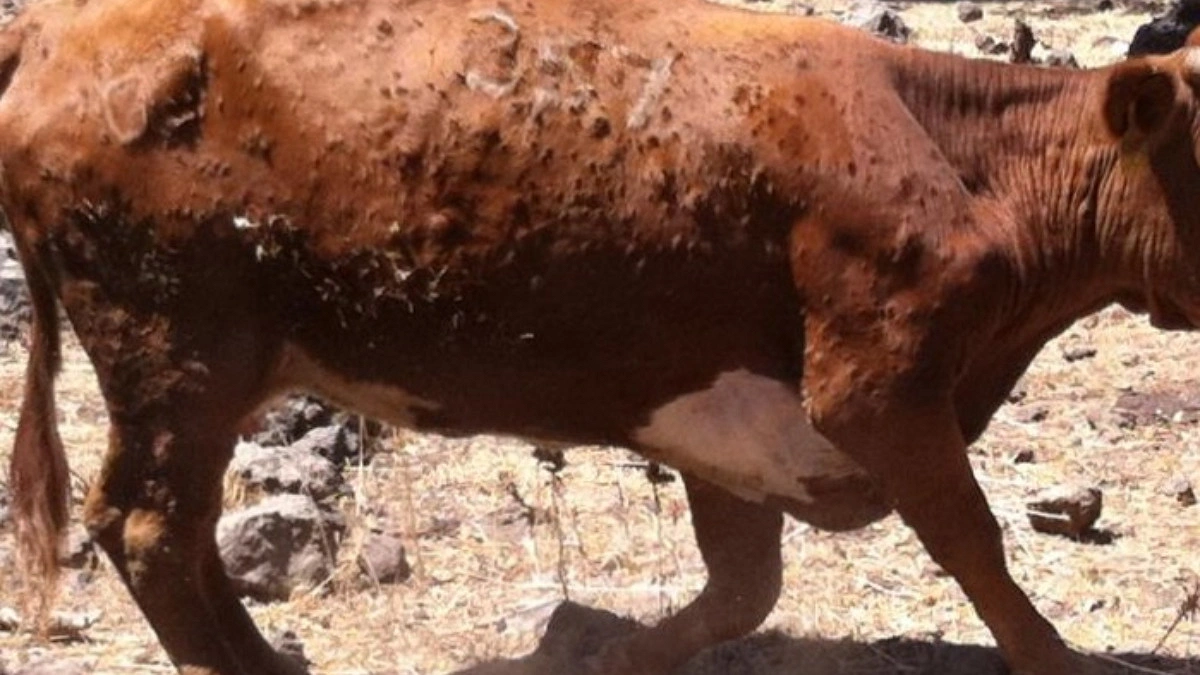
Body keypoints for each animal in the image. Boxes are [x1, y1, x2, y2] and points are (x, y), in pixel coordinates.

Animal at [5, 0, 1200, 673]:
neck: (968, 161)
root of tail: (58, 26)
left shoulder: (727, 418)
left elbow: (741, 589)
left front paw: (605, 653)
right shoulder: (878, 391)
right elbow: (974, 544)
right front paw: (1059, 661)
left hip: (211, 369)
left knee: (169, 529)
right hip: (176, 354)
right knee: (153, 530)